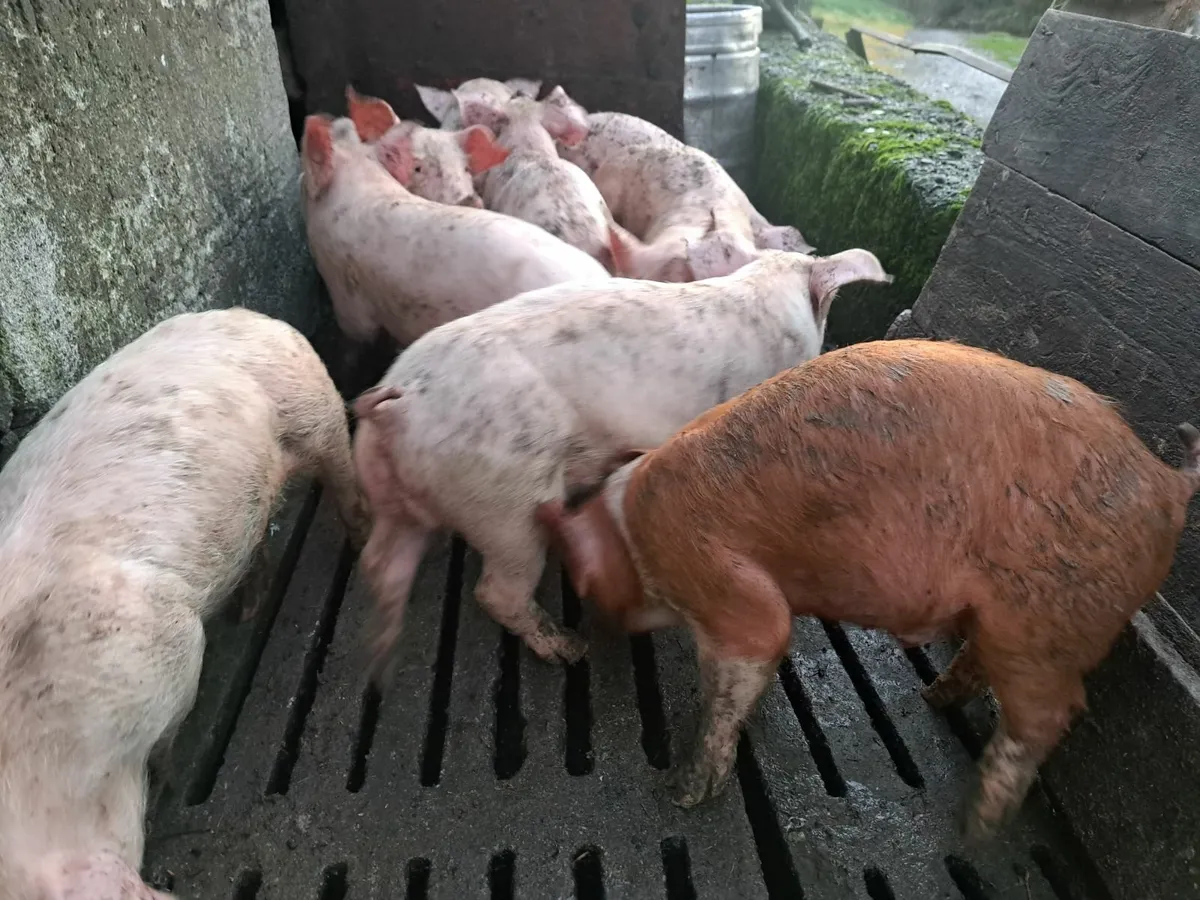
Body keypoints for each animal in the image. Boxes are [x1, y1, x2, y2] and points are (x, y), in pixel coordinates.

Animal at [0, 308, 369, 900]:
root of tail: (254, 316)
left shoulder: (166, 642)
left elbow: (171, 724)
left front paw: (168, 781)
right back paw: (248, 608)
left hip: (314, 407)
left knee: (341, 471)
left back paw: (357, 544)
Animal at [350, 248, 891, 678]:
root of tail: (398, 397)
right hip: (504, 502)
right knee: (496, 591)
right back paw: (569, 649)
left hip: (397, 498)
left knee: (379, 563)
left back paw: (381, 658)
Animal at [535, 338, 1200, 843]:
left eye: (589, 586)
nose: (600, 632)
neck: (627, 521)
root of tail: (1168, 482)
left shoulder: (716, 576)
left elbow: (754, 648)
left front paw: (682, 794)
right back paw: (933, 699)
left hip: (1047, 622)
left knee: (1046, 715)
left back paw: (974, 827)